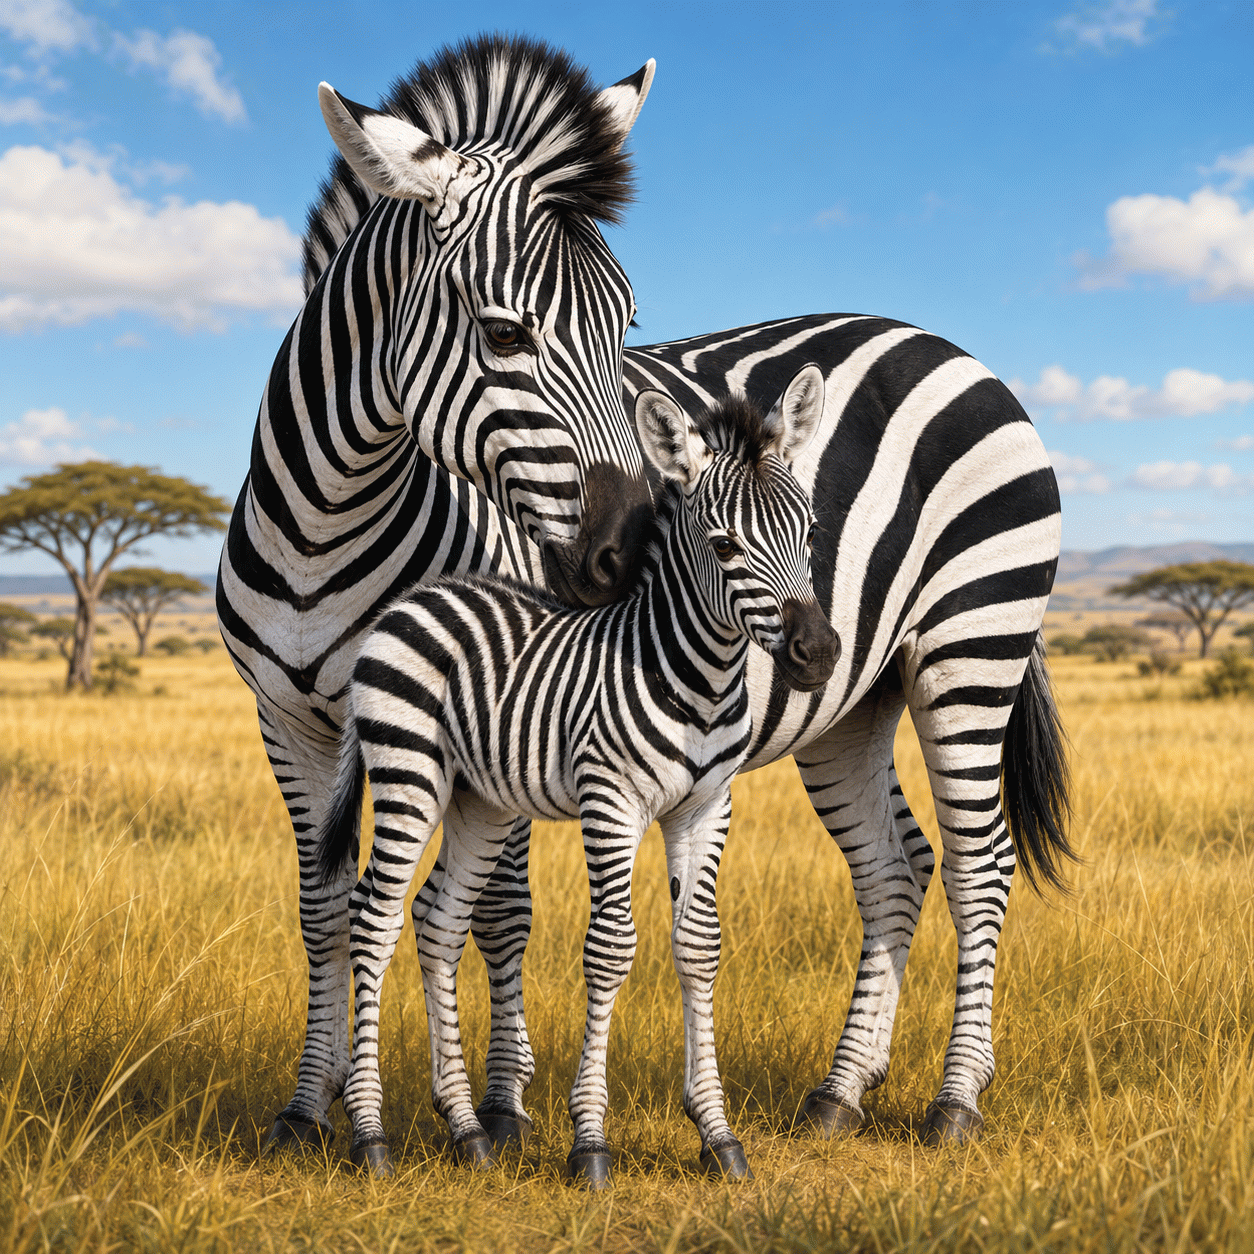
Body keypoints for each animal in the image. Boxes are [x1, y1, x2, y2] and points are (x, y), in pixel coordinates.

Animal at [317, 369, 836, 1182]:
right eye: (723, 546)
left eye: (809, 531)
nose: (819, 652)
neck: (699, 678)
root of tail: (411, 600)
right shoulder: (610, 800)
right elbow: (611, 948)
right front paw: (589, 1139)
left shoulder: (707, 806)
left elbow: (699, 946)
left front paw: (717, 1134)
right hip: (409, 771)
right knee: (374, 915)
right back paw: (370, 1134)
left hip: (479, 800)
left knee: (437, 918)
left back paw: (467, 1130)